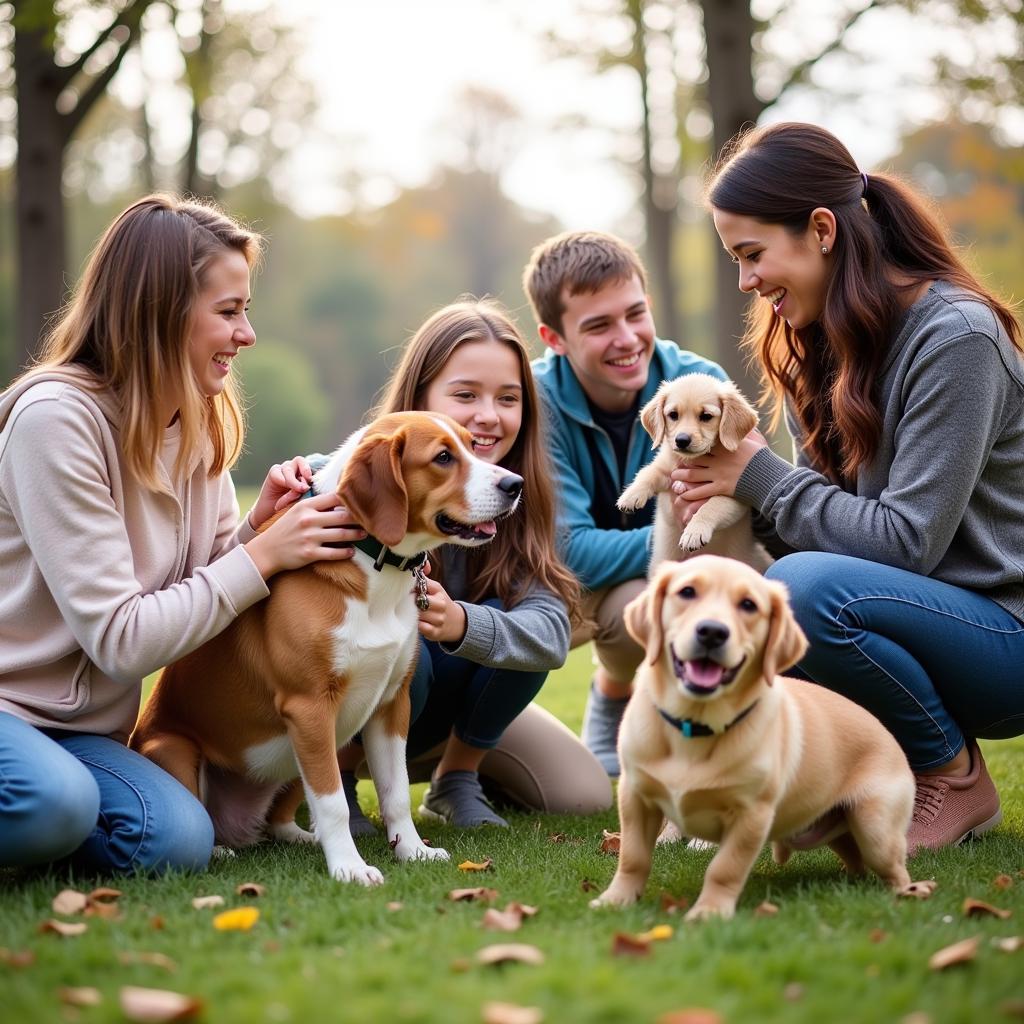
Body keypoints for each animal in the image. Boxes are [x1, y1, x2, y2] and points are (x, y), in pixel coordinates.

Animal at [589, 557, 925, 925]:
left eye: (748, 605)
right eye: (687, 592)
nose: (712, 632)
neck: (694, 725)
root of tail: (891, 737)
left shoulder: (751, 815)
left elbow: (725, 868)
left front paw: (710, 911)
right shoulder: (635, 797)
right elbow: (633, 857)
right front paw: (616, 899)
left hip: (875, 827)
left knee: (893, 867)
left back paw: (909, 893)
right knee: (855, 857)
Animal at [614, 372, 770, 573]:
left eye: (706, 416)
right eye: (673, 415)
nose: (681, 440)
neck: (692, 461)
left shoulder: (735, 495)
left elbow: (711, 506)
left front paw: (694, 532)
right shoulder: (666, 470)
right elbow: (647, 473)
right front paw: (630, 496)